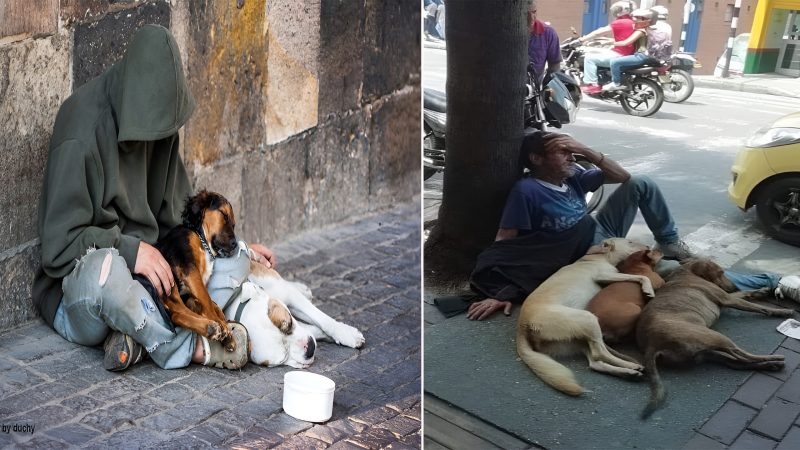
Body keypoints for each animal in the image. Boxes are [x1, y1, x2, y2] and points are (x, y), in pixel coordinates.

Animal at [520, 237, 656, 396]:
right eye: (629, 242)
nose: (649, 246)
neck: (600, 256)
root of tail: (522, 326)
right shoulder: (604, 275)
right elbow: (640, 276)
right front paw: (648, 290)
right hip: (587, 319)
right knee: (599, 353)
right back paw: (630, 366)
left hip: (579, 338)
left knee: (595, 363)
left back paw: (628, 372)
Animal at [632, 258, 792, 420]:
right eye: (721, 272)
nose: (733, 286)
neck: (687, 271)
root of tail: (651, 346)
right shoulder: (727, 299)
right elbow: (759, 307)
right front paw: (782, 311)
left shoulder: (728, 297)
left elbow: (743, 293)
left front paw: (761, 291)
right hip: (715, 337)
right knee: (744, 356)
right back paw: (774, 359)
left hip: (708, 353)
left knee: (738, 363)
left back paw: (772, 365)